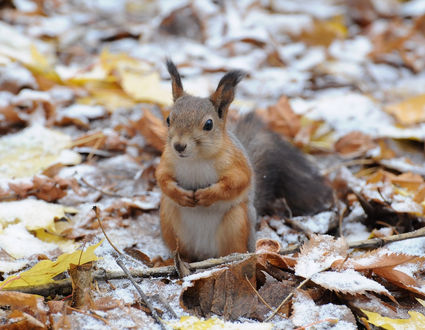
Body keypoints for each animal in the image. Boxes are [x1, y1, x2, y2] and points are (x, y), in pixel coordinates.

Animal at [154, 60, 332, 262]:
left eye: (208, 124)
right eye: (168, 119)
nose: (179, 146)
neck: (196, 158)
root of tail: (205, 255)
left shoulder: (235, 161)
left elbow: (237, 181)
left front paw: (207, 195)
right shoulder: (167, 159)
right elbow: (162, 178)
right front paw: (179, 194)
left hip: (236, 221)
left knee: (234, 247)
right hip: (168, 218)